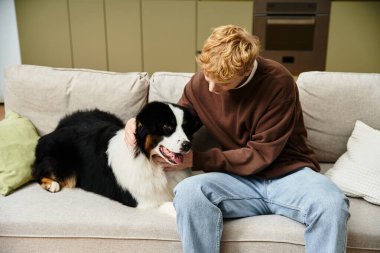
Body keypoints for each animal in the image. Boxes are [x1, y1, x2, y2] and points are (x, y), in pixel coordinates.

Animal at [33, 102, 199, 209]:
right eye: (167, 126)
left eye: (185, 128)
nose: (187, 145)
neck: (148, 160)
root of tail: (57, 127)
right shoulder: (146, 202)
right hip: (63, 165)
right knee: (38, 172)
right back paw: (52, 184)